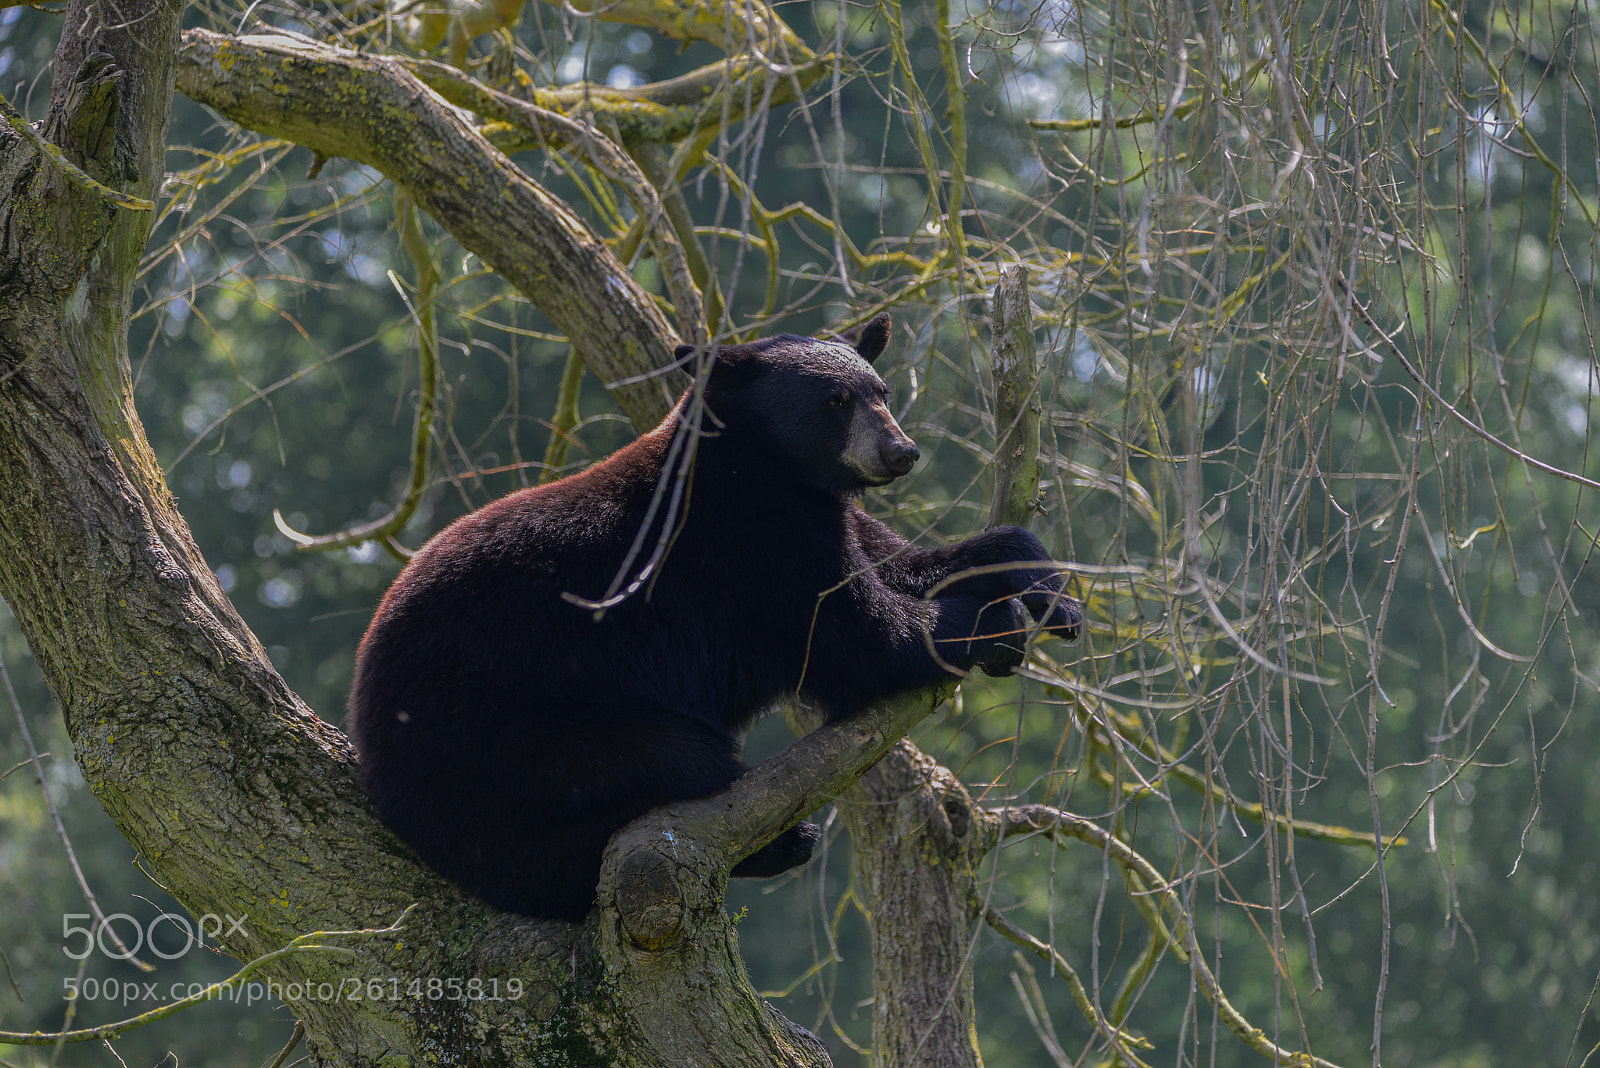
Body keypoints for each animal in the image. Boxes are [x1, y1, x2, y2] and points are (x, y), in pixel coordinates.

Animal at [345, 313, 1081, 921]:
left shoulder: (820, 516)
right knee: (661, 767)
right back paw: (777, 839)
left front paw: (1048, 590)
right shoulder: (741, 550)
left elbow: (907, 562)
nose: (900, 452)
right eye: (834, 401)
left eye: (882, 391)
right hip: (510, 736)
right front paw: (992, 625)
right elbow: (856, 636)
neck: (760, 467)